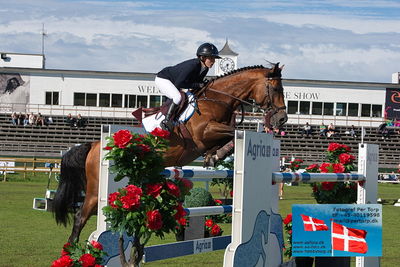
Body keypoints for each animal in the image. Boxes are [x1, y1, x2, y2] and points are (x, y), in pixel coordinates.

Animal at [53, 63, 288, 243]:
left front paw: (214, 155)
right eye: (276, 89)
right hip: (95, 190)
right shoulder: (204, 132)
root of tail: (94, 145)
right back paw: (73, 250)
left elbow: (230, 136)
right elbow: (233, 133)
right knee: (80, 216)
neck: (216, 100)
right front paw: (217, 154)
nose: (282, 120)